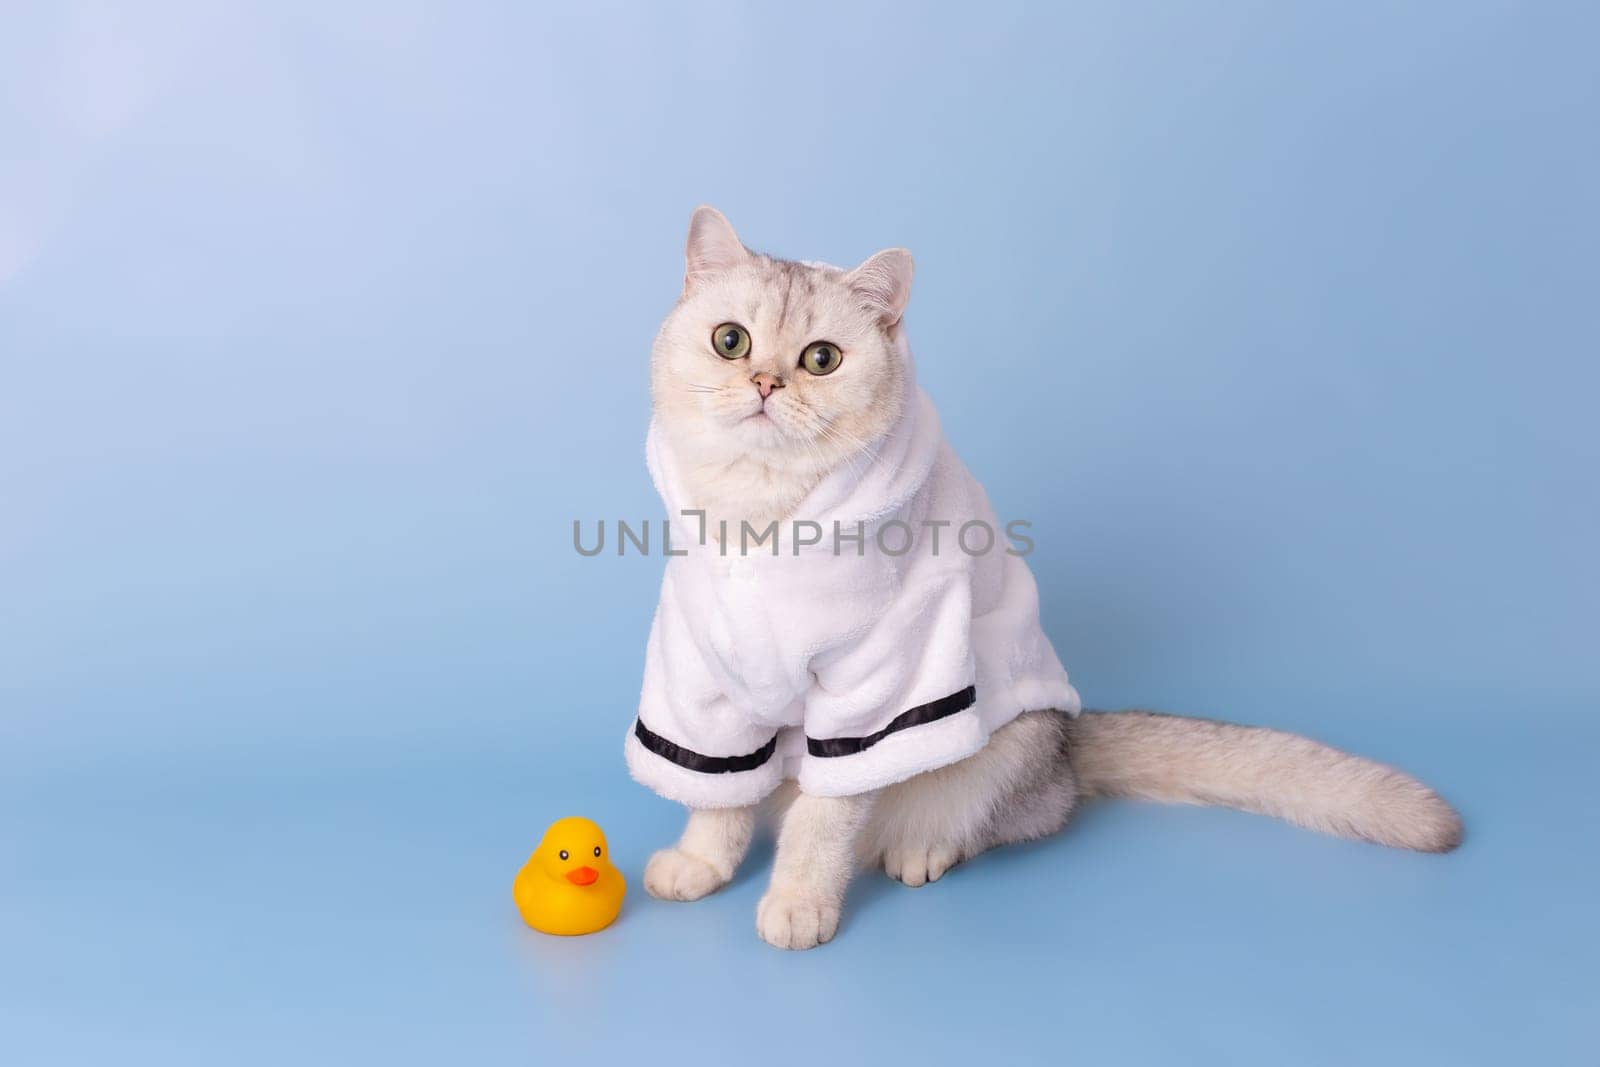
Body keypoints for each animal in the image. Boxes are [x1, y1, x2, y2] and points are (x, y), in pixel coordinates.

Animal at [624, 207, 1465, 953]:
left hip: (995, 748)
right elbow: (718, 797)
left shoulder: (874, 692)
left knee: (997, 820)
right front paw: (701, 862)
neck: (759, 515)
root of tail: (1070, 743)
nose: (767, 382)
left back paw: (924, 849)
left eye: (821, 359)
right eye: (730, 341)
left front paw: (799, 902)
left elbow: (821, 822)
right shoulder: (701, 686)